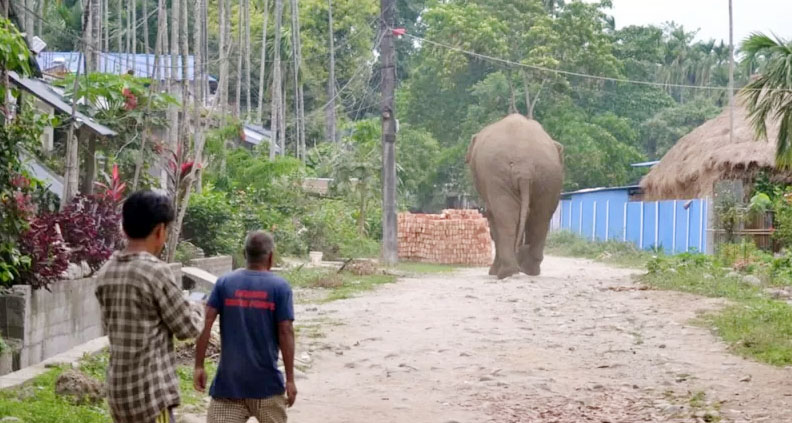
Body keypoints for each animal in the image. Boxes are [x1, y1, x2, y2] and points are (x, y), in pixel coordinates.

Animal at [466, 114, 564, 279]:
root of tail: (524, 167)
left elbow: (493, 217)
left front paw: (493, 272)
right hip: (548, 175)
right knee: (540, 217)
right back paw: (528, 270)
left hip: (498, 174)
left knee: (506, 217)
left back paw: (506, 273)